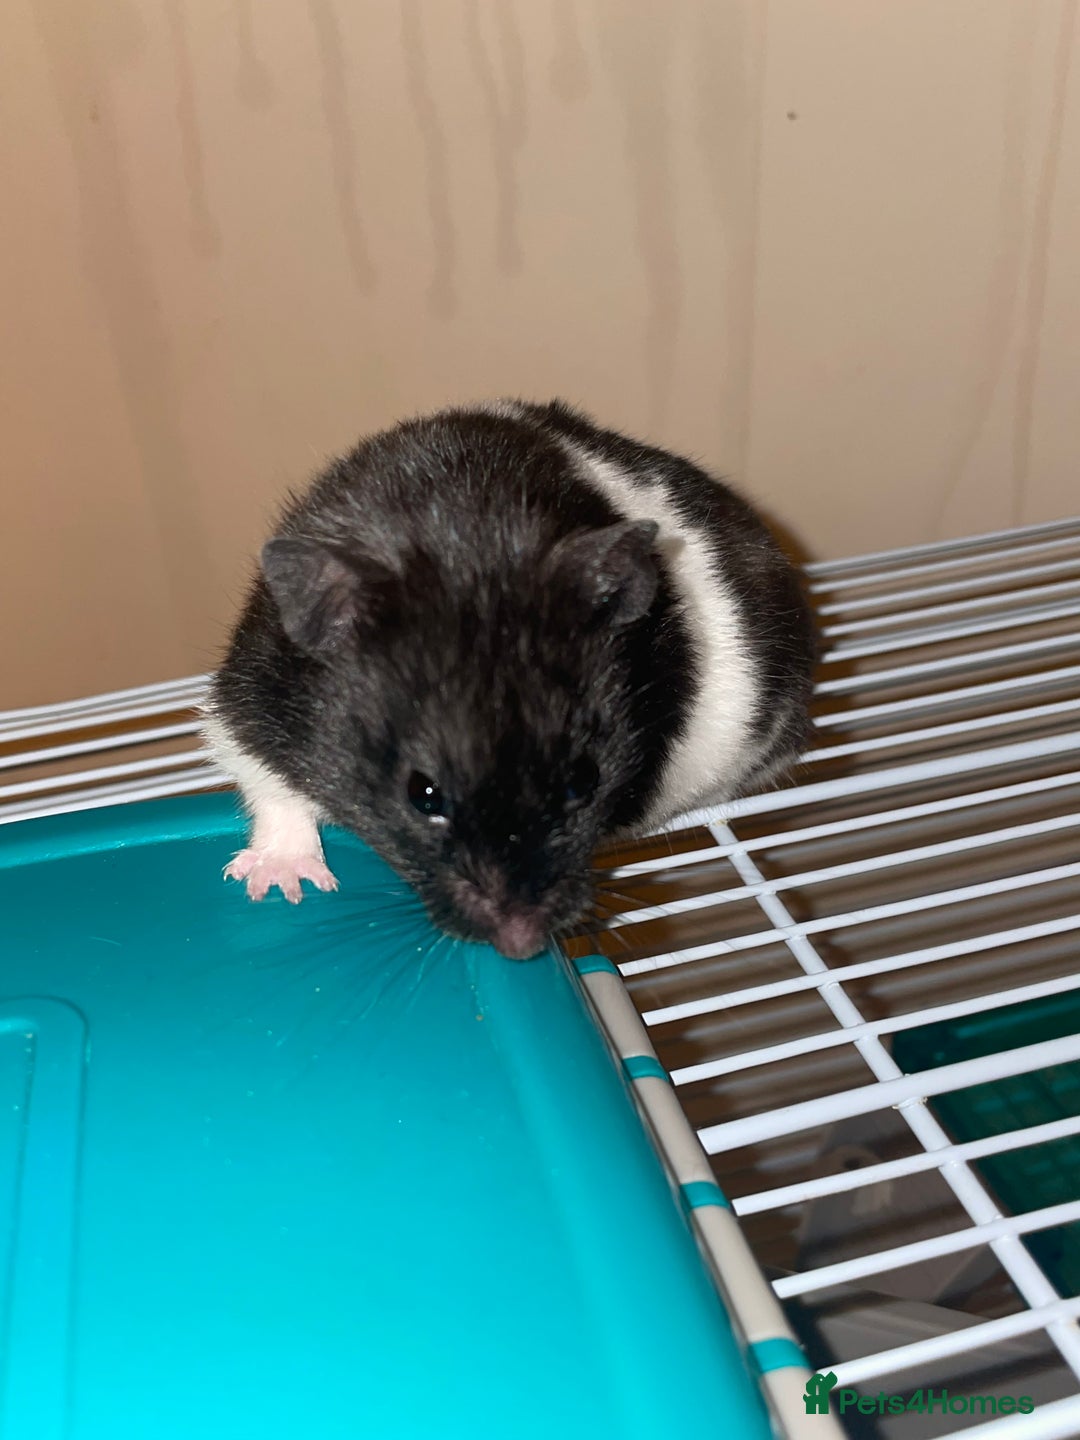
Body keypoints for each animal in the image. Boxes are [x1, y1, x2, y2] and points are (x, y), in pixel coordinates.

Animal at [203, 400, 816, 959]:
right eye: (422, 794)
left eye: (583, 781)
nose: (522, 948)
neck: (468, 536)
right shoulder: (250, 694)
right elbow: (269, 784)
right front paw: (278, 887)